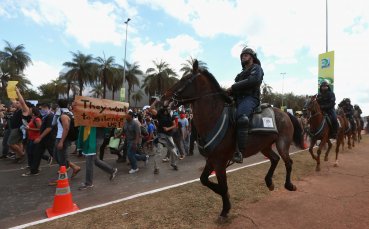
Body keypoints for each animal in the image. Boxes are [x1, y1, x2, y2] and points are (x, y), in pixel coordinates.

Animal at [160, 60, 304, 218]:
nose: (164, 98)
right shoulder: (211, 160)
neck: (214, 117)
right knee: (275, 159)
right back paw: (269, 182)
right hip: (265, 147)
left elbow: (223, 186)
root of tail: (285, 114)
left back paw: (289, 185)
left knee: (288, 162)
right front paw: (224, 197)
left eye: (185, 79)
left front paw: (225, 208)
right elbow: (204, 180)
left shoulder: (220, 161)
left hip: (282, 144)